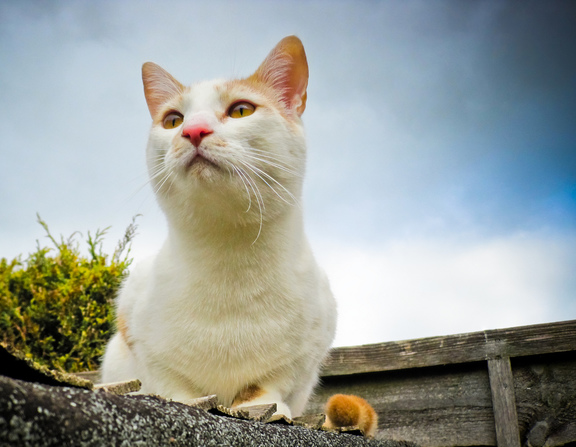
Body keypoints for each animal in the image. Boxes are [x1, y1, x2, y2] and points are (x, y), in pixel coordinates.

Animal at [101, 36, 376, 438]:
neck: (228, 258)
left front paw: (266, 406)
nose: (193, 131)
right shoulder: (136, 325)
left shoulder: (306, 351)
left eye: (241, 110)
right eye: (173, 120)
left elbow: (267, 387)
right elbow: (173, 385)